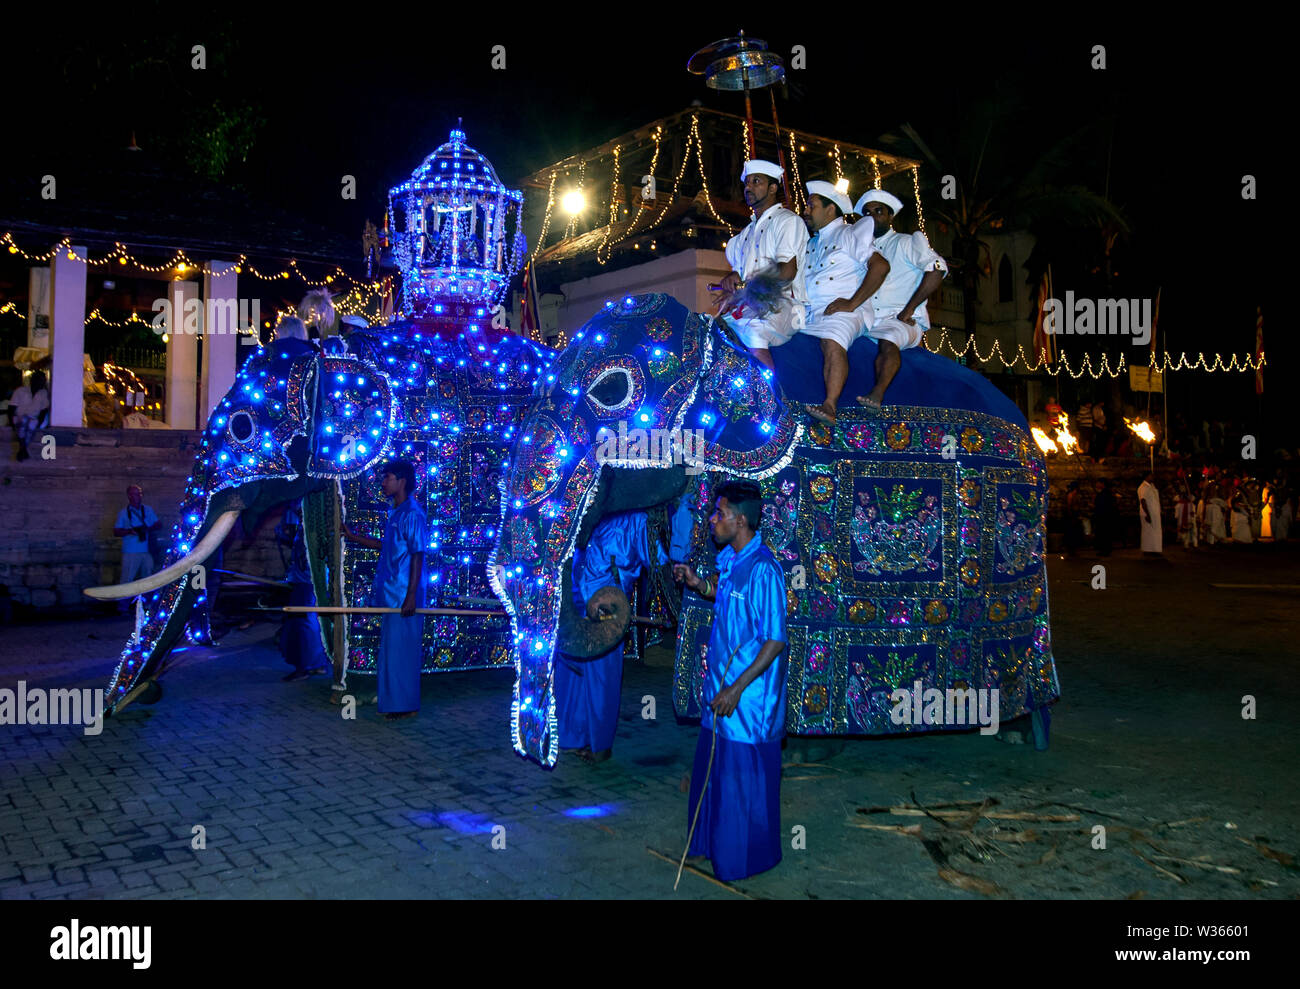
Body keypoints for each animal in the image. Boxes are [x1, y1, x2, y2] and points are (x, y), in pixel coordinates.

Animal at [488, 289, 1055, 769]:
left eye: (611, 389)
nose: (602, 606)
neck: (719, 338)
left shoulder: (785, 490)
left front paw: (797, 748)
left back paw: (1017, 728)